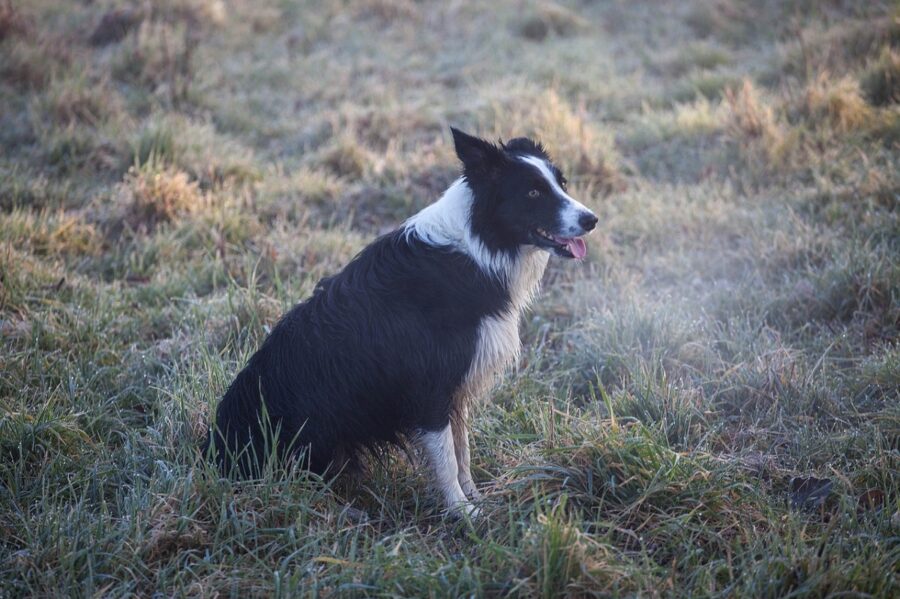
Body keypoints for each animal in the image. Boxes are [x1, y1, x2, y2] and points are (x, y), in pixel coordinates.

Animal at [207, 129, 596, 516]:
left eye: (561, 184)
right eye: (532, 192)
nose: (591, 220)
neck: (478, 245)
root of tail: (215, 449)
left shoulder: (457, 389)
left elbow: (463, 451)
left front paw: (476, 498)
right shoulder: (431, 389)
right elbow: (448, 459)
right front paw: (462, 513)